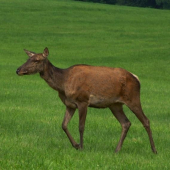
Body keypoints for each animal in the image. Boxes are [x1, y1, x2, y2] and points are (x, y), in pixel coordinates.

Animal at [15, 47, 157, 153]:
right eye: (28, 58)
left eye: (37, 60)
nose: (18, 70)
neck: (63, 84)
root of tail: (136, 78)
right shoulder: (70, 104)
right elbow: (64, 125)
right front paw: (76, 145)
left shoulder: (83, 100)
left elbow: (81, 126)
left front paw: (82, 147)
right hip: (115, 104)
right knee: (126, 123)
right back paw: (117, 150)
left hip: (133, 98)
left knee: (146, 120)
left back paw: (154, 150)